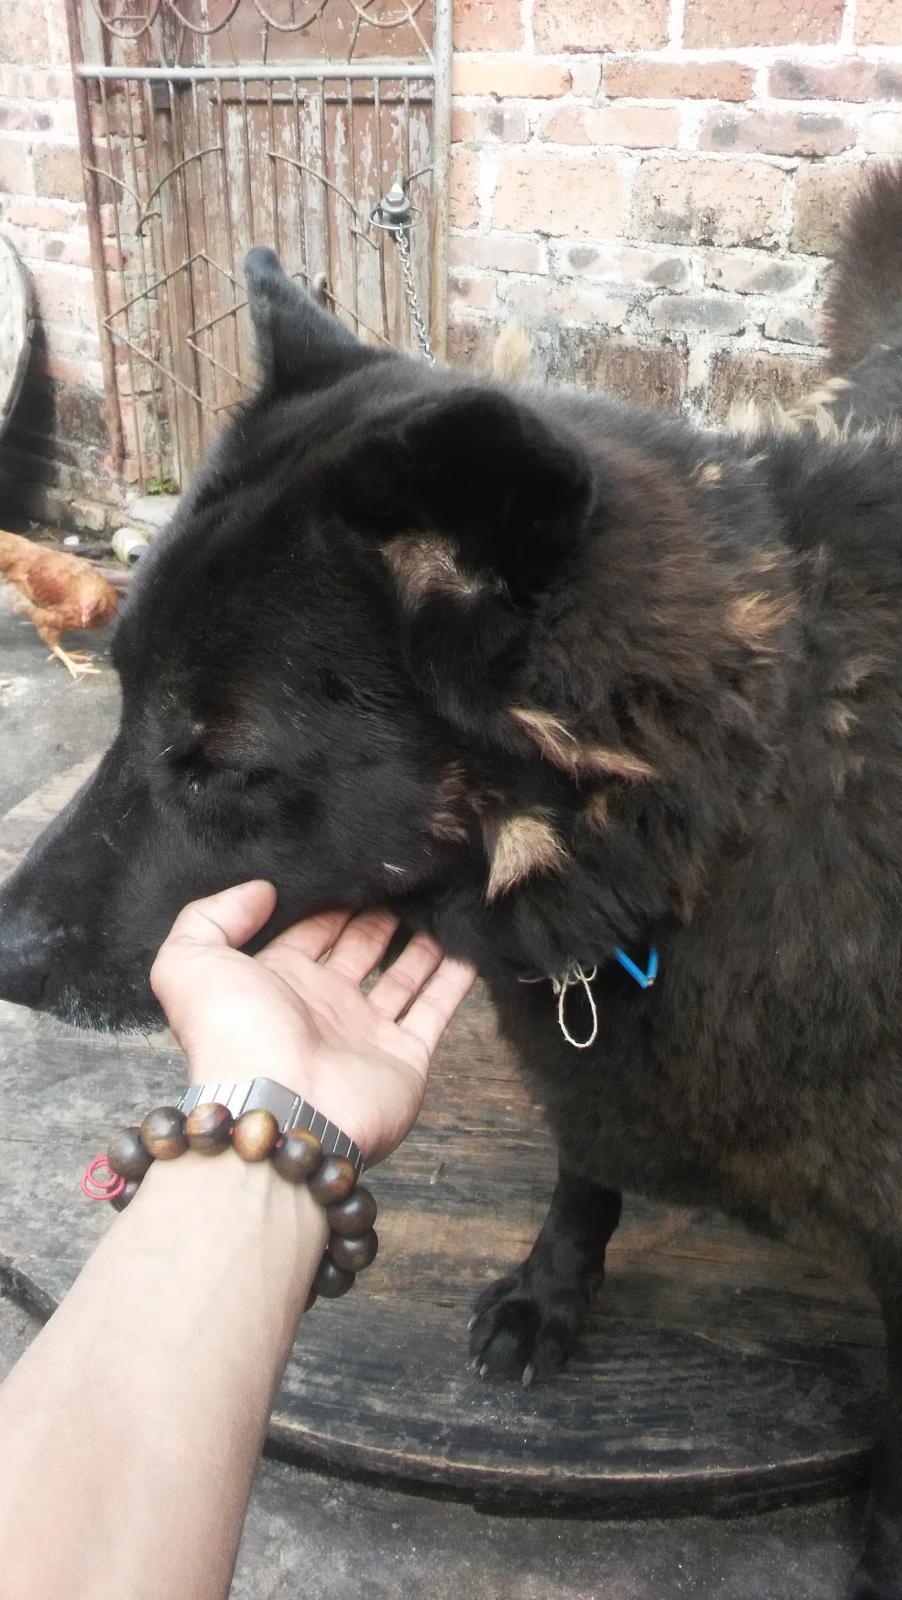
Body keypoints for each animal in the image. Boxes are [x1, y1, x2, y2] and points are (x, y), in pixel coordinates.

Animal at [3, 165, 902, 1599]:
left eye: (215, 760)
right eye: (124, 692)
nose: (3, 952)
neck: (705, 825)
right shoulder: (589, 1065)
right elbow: (583, 1175)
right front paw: (548, 1290)